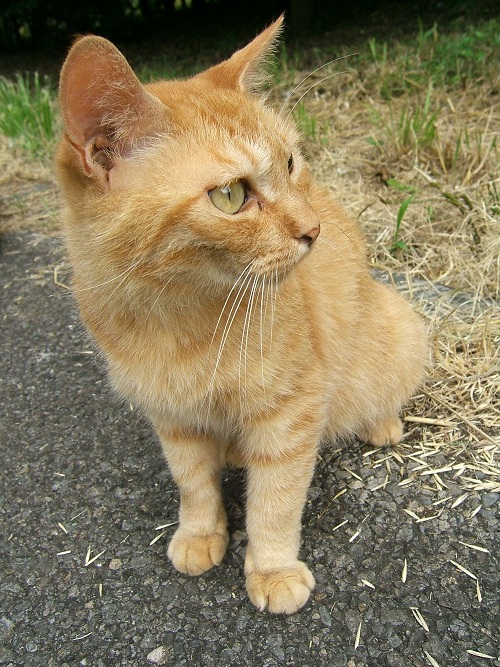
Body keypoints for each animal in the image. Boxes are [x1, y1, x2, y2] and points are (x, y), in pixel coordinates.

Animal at [56, 15, 428, 620]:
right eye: (230, 195)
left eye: (291, 163)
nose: (313, 230)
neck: (175, 319)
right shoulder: (172, 418)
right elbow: (193, 483)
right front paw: (200, 533)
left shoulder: (291, 414)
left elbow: (274, 502)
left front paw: (272, 570)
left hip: (400, 329)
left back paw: (382, 424)